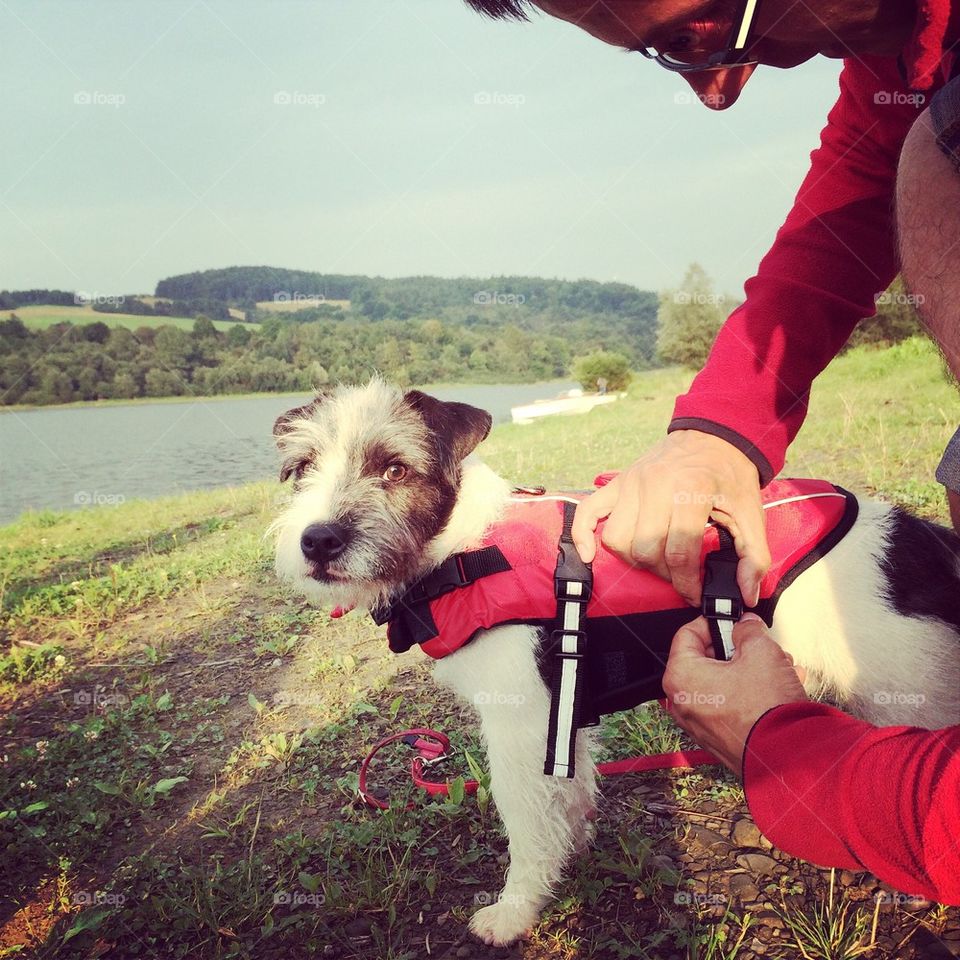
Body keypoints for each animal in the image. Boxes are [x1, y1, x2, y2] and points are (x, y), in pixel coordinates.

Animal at [268, 378, 960, 948]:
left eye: (393, 467)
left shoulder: (519, 726)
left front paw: (515, 910)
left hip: (912, 697)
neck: (462, 547)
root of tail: (920, 537)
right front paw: (569, 849)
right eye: (303, 468)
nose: (318, 540)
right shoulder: (559, 717)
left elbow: (524, 820)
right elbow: (566, 794)